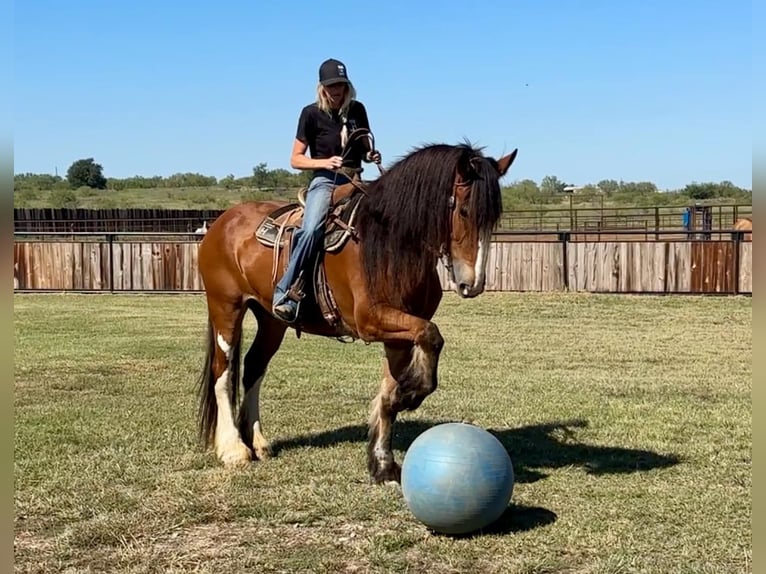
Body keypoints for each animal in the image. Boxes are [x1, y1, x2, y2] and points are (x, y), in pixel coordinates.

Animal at [195, 136, 520, 486]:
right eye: (463, 210)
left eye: (494, 218)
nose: (473, 283)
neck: (388, 244)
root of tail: (223, 221)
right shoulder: (371, 321)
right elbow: (432, 335)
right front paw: (411, 396)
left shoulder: (398, 335)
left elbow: (391, 392)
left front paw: (383, 464)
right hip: (226, 308)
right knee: (223, 371)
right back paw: (233, 449)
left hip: (271, 319)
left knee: (254, 366)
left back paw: (257, 442)